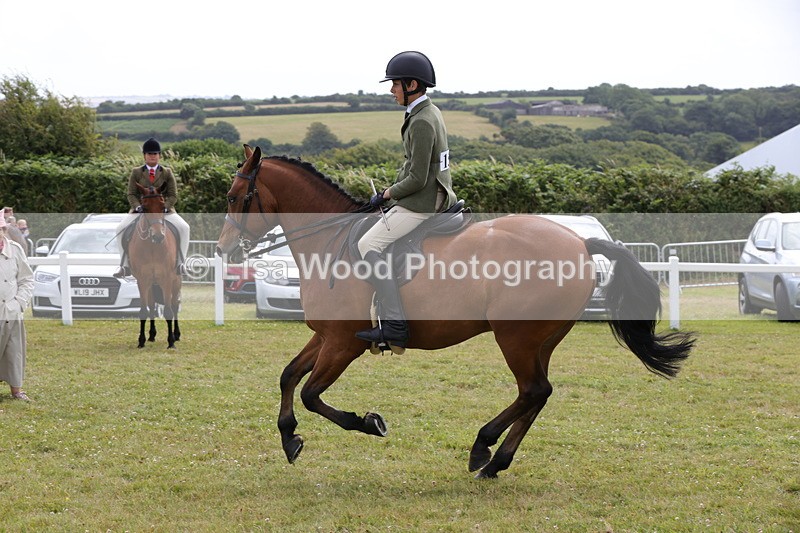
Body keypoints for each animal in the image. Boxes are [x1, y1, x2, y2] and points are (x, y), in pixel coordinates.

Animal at [129, 183, 182, 349]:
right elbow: (143, 311)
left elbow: (169, 311)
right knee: (152, 307)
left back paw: (176, 335)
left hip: (176, 282)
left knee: (174, 305)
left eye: (162, 206)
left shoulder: (167, 279)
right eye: (144, 207)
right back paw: (151, 335)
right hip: (152, 284)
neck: (153, 247)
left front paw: (171, 342)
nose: (158, 236)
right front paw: (141, 340)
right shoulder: (142, 280)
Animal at [216, 145, 695, 478]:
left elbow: (312, 394)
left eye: (235, 196)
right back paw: (496, 462)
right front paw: (289, 438)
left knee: (533, 391)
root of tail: (579, 242)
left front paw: (369, 423)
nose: (223, 248)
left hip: (515, 337)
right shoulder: (324, 336)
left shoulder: (342, 343)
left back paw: (483, 448)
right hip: (540, 339)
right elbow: (288, 377)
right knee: (539, 393)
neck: (329, 242)